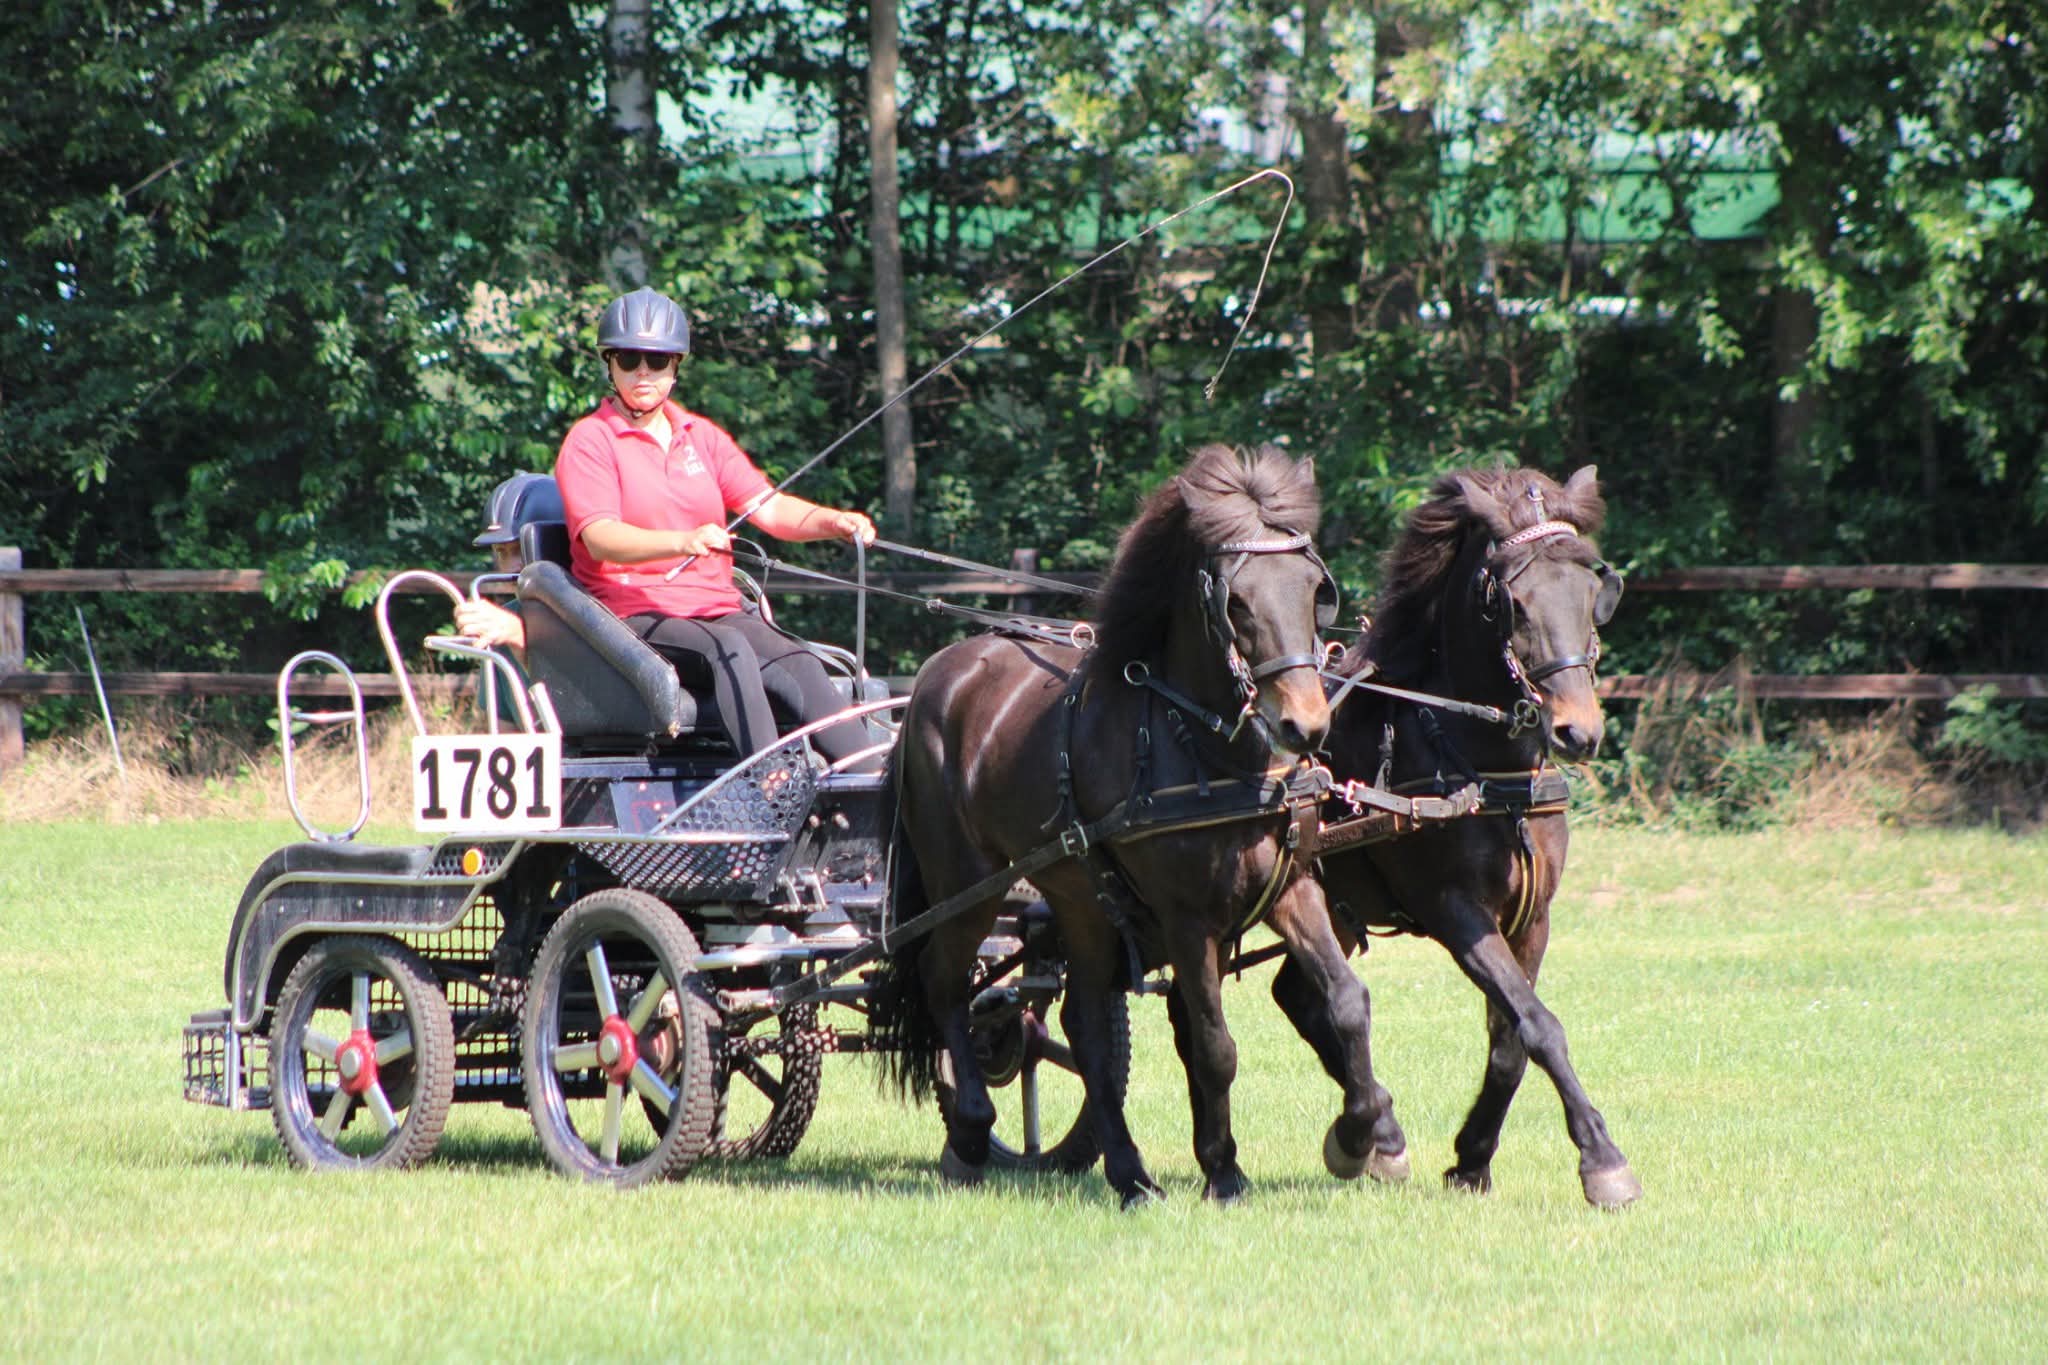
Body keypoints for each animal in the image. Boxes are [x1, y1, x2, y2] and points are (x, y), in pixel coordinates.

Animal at [870, 442, 1410, 1207]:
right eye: (1235, 600)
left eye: (1314, 589)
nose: (1303, 725)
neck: (1210, 750)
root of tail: (931, 680)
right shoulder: (1186, 918)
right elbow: (1214, 1044)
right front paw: (1224, 1169)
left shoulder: (1293, 888)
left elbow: (1345, 1003)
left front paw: (1361, 1137)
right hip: (966, 884)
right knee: (946, 982)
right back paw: (973, 1133)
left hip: (1079, 896)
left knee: (1081, 1023)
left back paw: (1127, 1171)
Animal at [1301, 463, 1643, 1208]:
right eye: (1513, 602)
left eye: (1592, 591)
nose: (1577, 731)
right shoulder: (1456, 910)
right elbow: (1539, 1023)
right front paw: (1602, 1158)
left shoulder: (1532, 916)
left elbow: (1511, 1037)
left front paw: (1472, 1157)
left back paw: (1374, 1134)